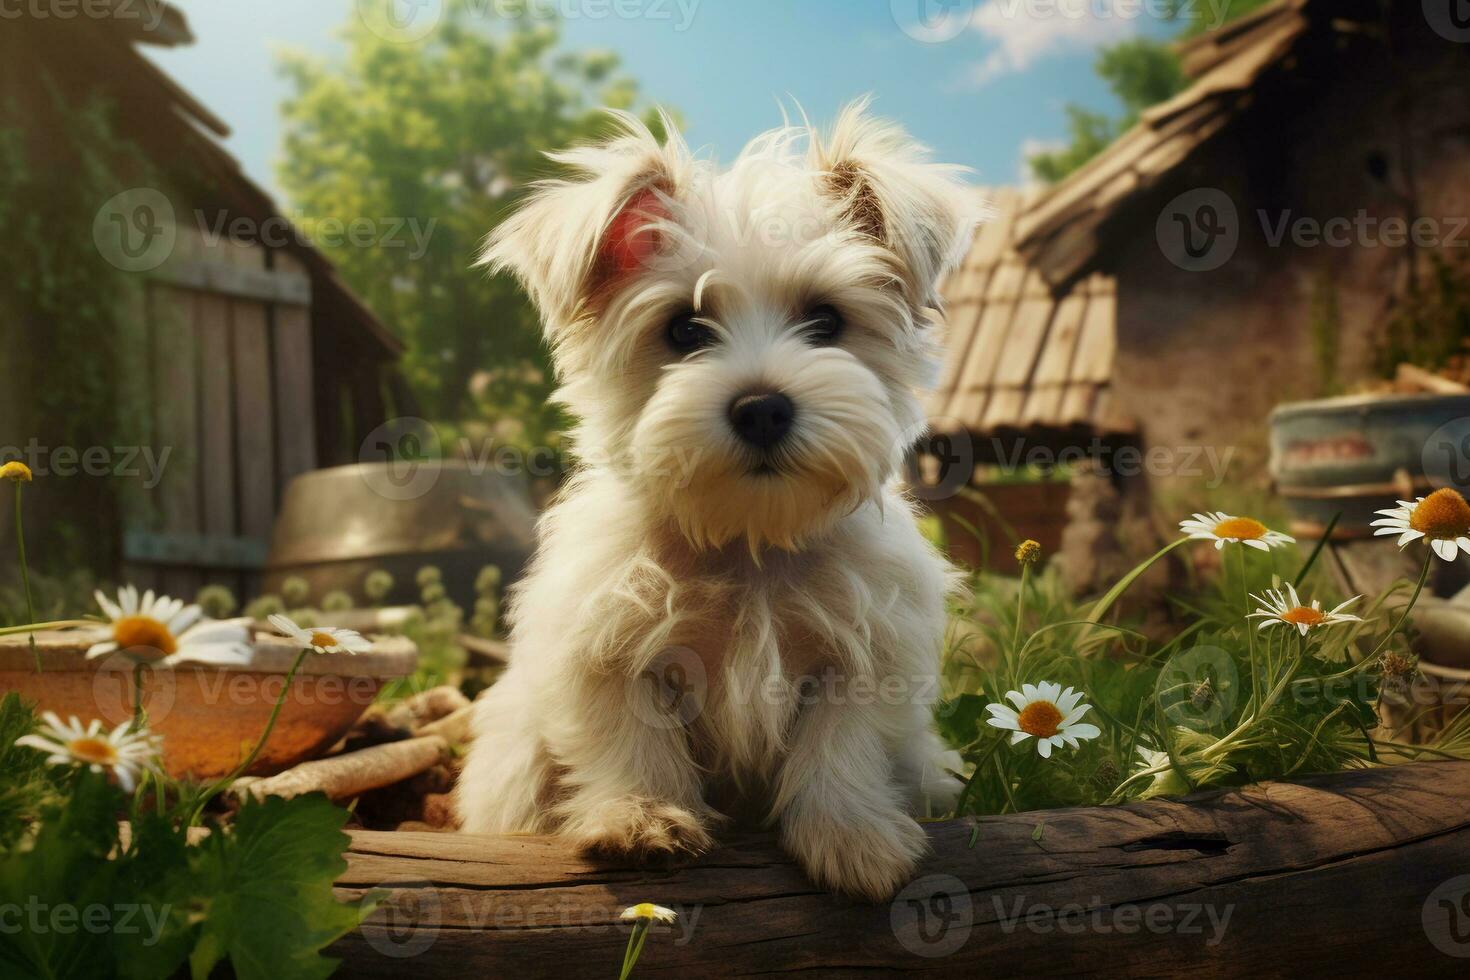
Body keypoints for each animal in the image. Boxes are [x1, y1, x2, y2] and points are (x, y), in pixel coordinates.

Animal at [455, 101, 976, 905]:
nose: (762, 407)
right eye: (683, 329)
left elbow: (843, 747)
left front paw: (851, 835)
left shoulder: (868, 657)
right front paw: (640, 818)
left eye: (825, 321)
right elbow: (630, 740)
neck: (745, 541)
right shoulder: (606, 649)